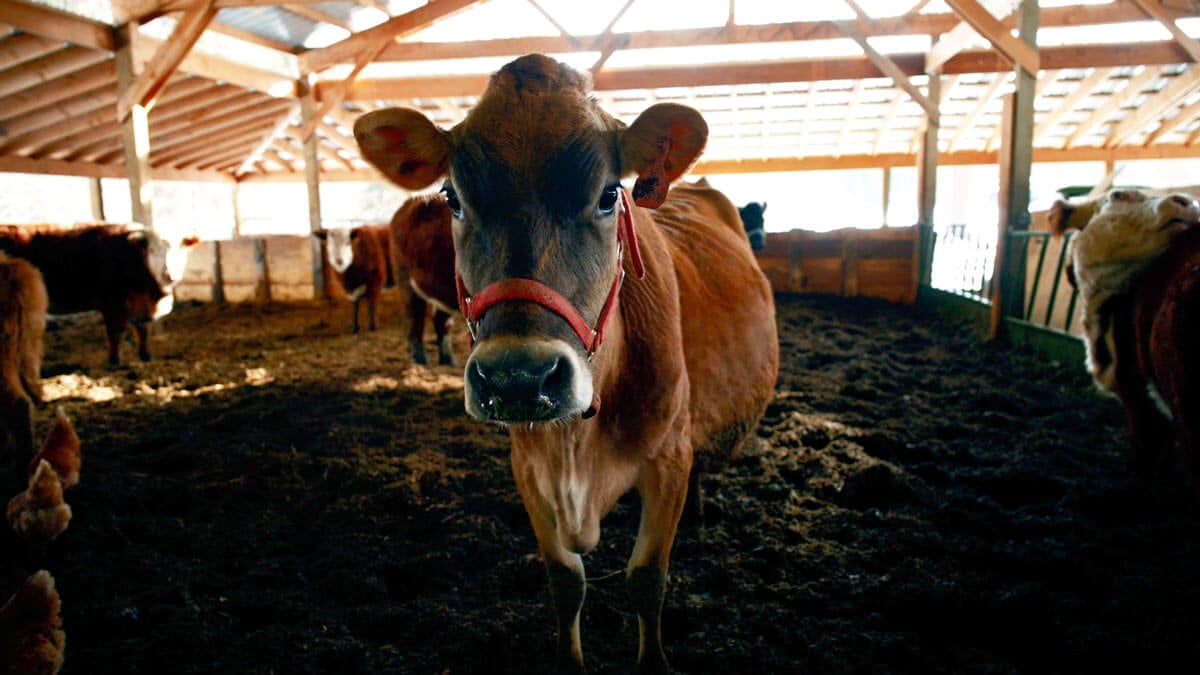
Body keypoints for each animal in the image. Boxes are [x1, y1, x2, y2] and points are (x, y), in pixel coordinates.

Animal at [0, 224, 198, 366]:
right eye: (154, 250)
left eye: (181, 248)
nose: (170, 274)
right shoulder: (111, 301)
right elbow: (115, 332)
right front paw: (114, 361)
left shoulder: (138, 305)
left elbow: (142, 331)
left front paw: (145, 356)